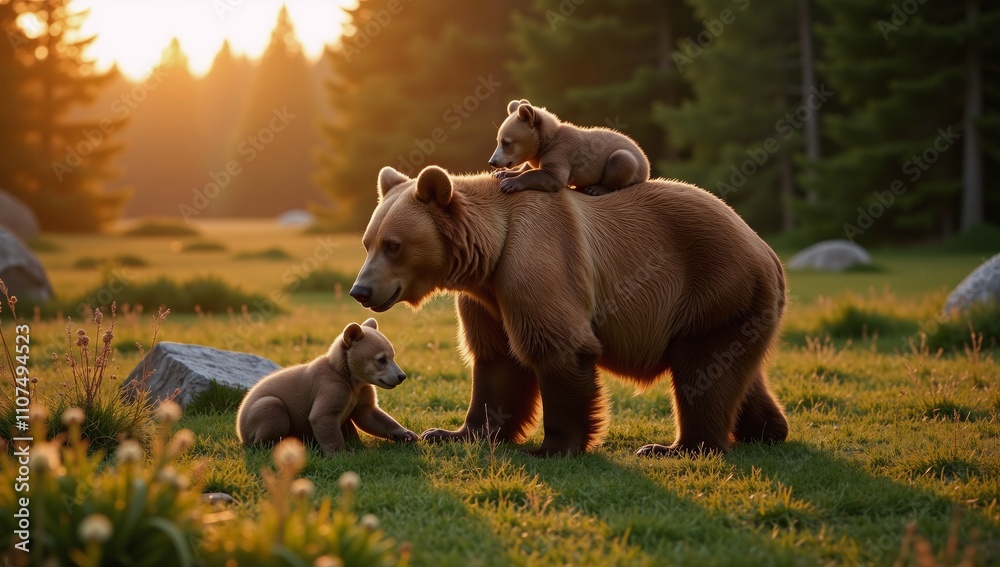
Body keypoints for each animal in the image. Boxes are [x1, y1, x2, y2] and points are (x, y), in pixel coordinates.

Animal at [236, 318, 417, 454]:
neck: (349, 378)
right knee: (271, 411)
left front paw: (406, 433)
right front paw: (341, 454)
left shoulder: (361, 391)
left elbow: (370, 415)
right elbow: (323, 417)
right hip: (258, 414)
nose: (401, 376)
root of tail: (238, 428)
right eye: (381, 359)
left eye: (393, 356)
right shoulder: (329, 387)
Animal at [349, 165, 788, 457]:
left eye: (393, 245)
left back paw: (676, 447)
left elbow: (558, 347)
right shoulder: (487, 298)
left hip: (712, 286)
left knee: (702, 373)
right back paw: (769, 429)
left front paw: (554, 446)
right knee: (731, 371)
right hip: (735, 308)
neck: (492, 250)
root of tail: (767, 250)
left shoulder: (535, 260)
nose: (361, 289)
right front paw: (450, 432)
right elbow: (495, 360)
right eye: (368, 242)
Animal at [488, 99, 650, 196]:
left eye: (506, 142)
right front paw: (503, 173)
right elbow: (529, 166)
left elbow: (553, 177)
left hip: (629, 160)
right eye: (498, 140)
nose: (492, 162)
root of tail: (646, 162)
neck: (546, 142)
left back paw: (595, 188)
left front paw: (510, 184)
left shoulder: (561, 152)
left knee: (622, 160)